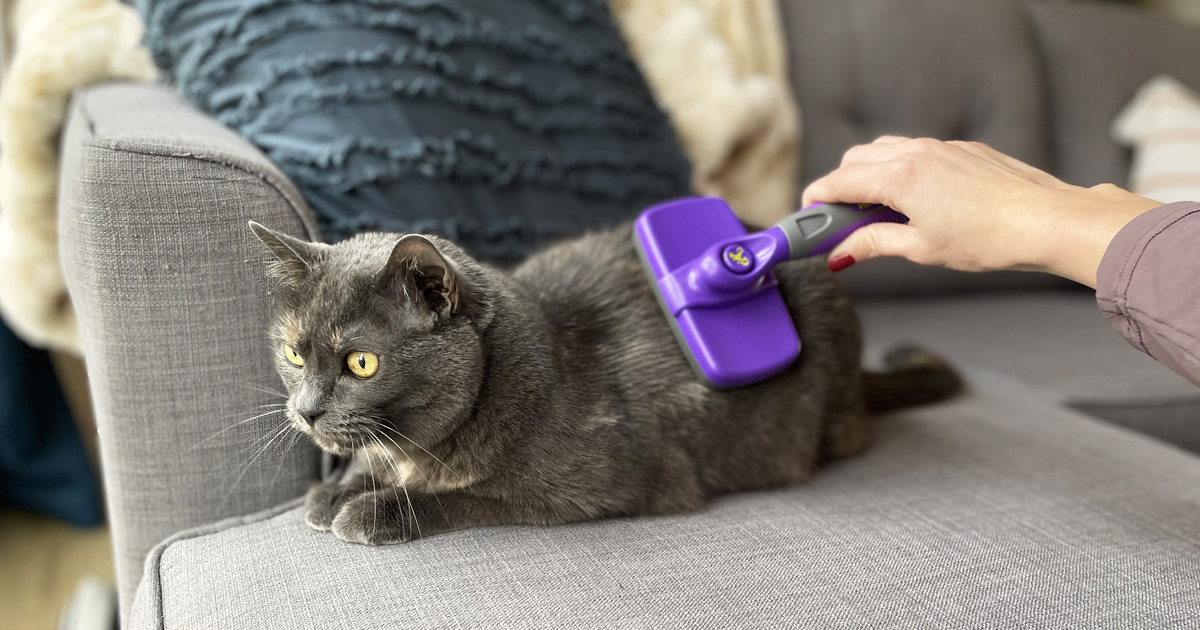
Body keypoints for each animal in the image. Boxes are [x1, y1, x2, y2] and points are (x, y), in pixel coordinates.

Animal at [248, 218, 960, 542]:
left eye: (360, 363)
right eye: (292, 353)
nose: (306, 411)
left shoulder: (601, 484)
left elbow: (474, 497)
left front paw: (370, 509)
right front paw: (339, 489)